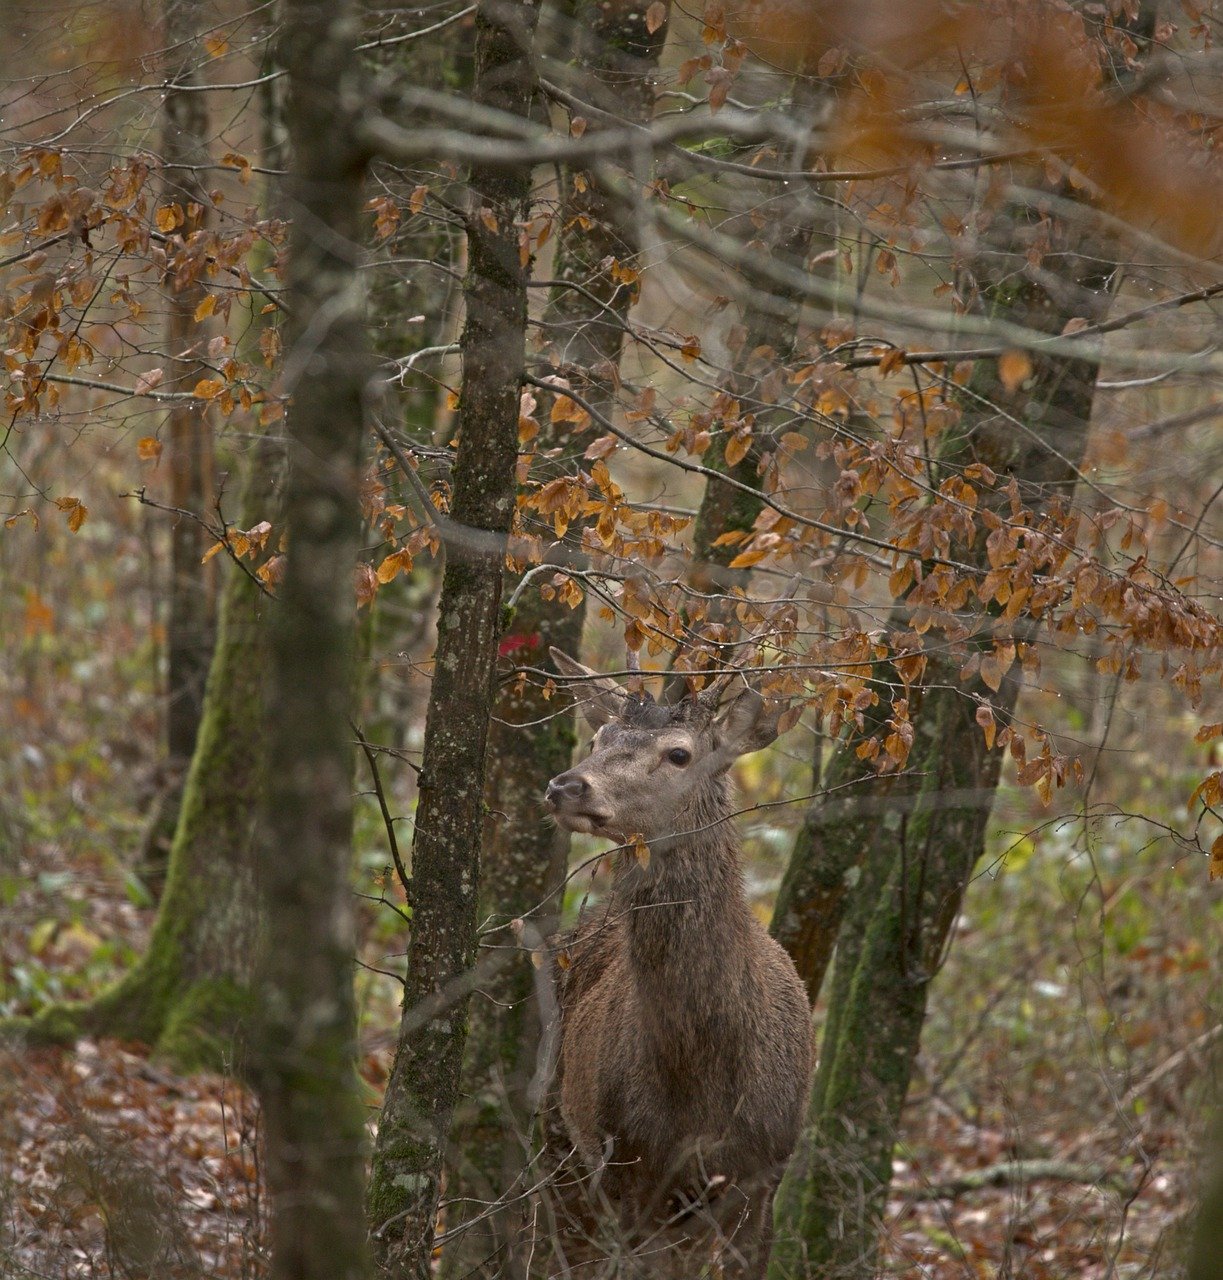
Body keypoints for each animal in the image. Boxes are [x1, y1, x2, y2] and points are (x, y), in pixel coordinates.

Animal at [542, 650, 814, 1280]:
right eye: (598, 737)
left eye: (679, 754)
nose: (566, 785)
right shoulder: (631, 1170)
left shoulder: (764, 1172)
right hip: (561, 1139)